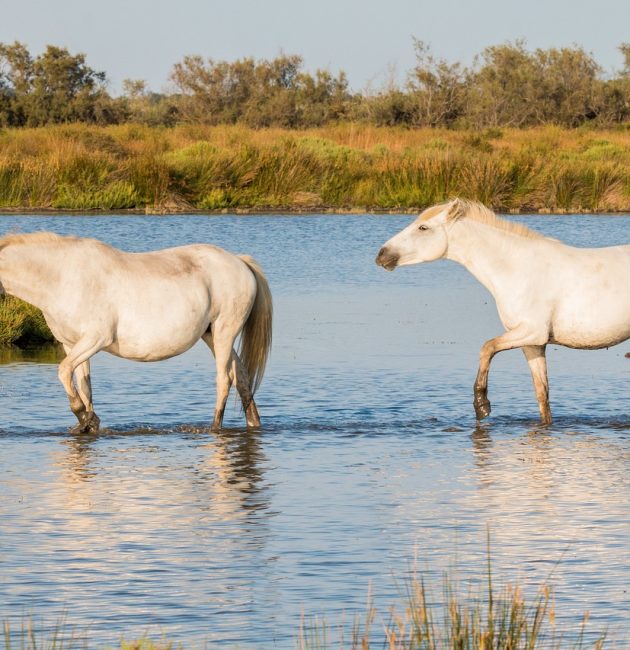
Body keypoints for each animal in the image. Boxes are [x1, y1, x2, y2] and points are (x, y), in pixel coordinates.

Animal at [0, 232, 272, 433]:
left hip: (225, 331)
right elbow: (84, 387)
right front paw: (88, 423)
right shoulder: (72, 344)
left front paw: (85, 418)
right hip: (211, 335)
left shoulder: (95, 339)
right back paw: (254, 424)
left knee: (224, 381)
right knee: (242, 378)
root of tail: (240, 261)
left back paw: (214, 428)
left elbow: (63, 371)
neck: (62, 277)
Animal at [376, 199, 630, 424]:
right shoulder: (533, 344)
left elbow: (487, 347)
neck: (518, 269)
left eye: (423, 227)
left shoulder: (531, 331)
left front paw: (481, 404)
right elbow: (542, 396)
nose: (381, 254)